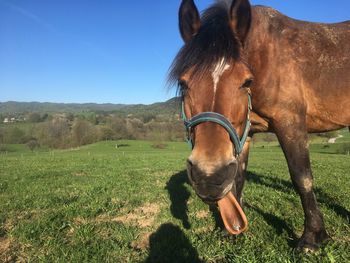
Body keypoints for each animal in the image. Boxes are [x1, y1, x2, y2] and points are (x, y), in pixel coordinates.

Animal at [168, 0, 348, 253]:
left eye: (246, 82)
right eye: (183, 83)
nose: (209, 176)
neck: (267, 60)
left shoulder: (290, 123)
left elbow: (302, 178)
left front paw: (312, 237)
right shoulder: (245, 133)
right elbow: (238, 179)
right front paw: (232, 229)